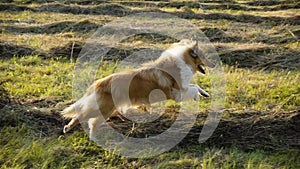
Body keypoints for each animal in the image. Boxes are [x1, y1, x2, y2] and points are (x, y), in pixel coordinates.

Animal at [62, 39, 214, 133]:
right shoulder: (177, 93)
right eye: (204, 56)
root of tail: (100, 83)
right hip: (104, 108)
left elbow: (196, 85)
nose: (214, 64)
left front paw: (205, 93)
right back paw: (68, 128)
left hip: (106, 110)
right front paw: (197, 97)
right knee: (80, 116)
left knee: (91, 122)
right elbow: (193, 88)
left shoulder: (182, 88)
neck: (182, 62)